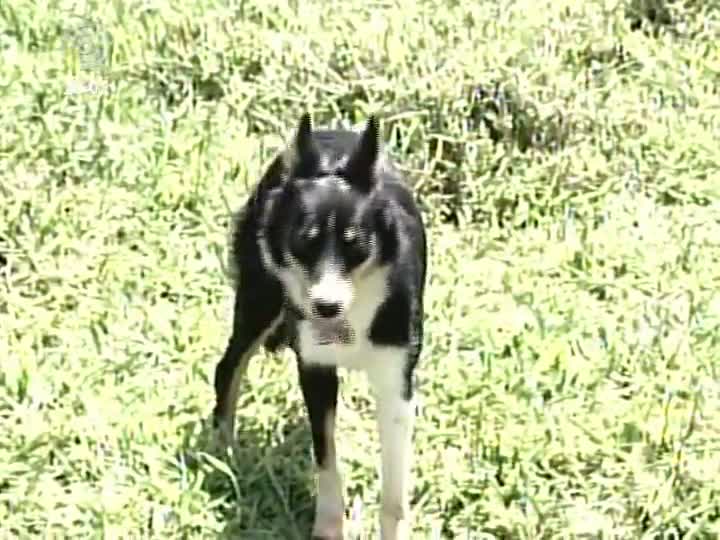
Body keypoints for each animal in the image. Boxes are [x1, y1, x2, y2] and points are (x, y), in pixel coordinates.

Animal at [214, 112, 428, 536]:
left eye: (354, 243)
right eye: (304, 241)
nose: (325, 308)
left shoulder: (396, 381)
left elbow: (394, 492)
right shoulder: (315, 369)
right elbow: (326, 461)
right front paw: (329, 528)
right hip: (259, 298)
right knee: (228, 367)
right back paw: (223, 451)